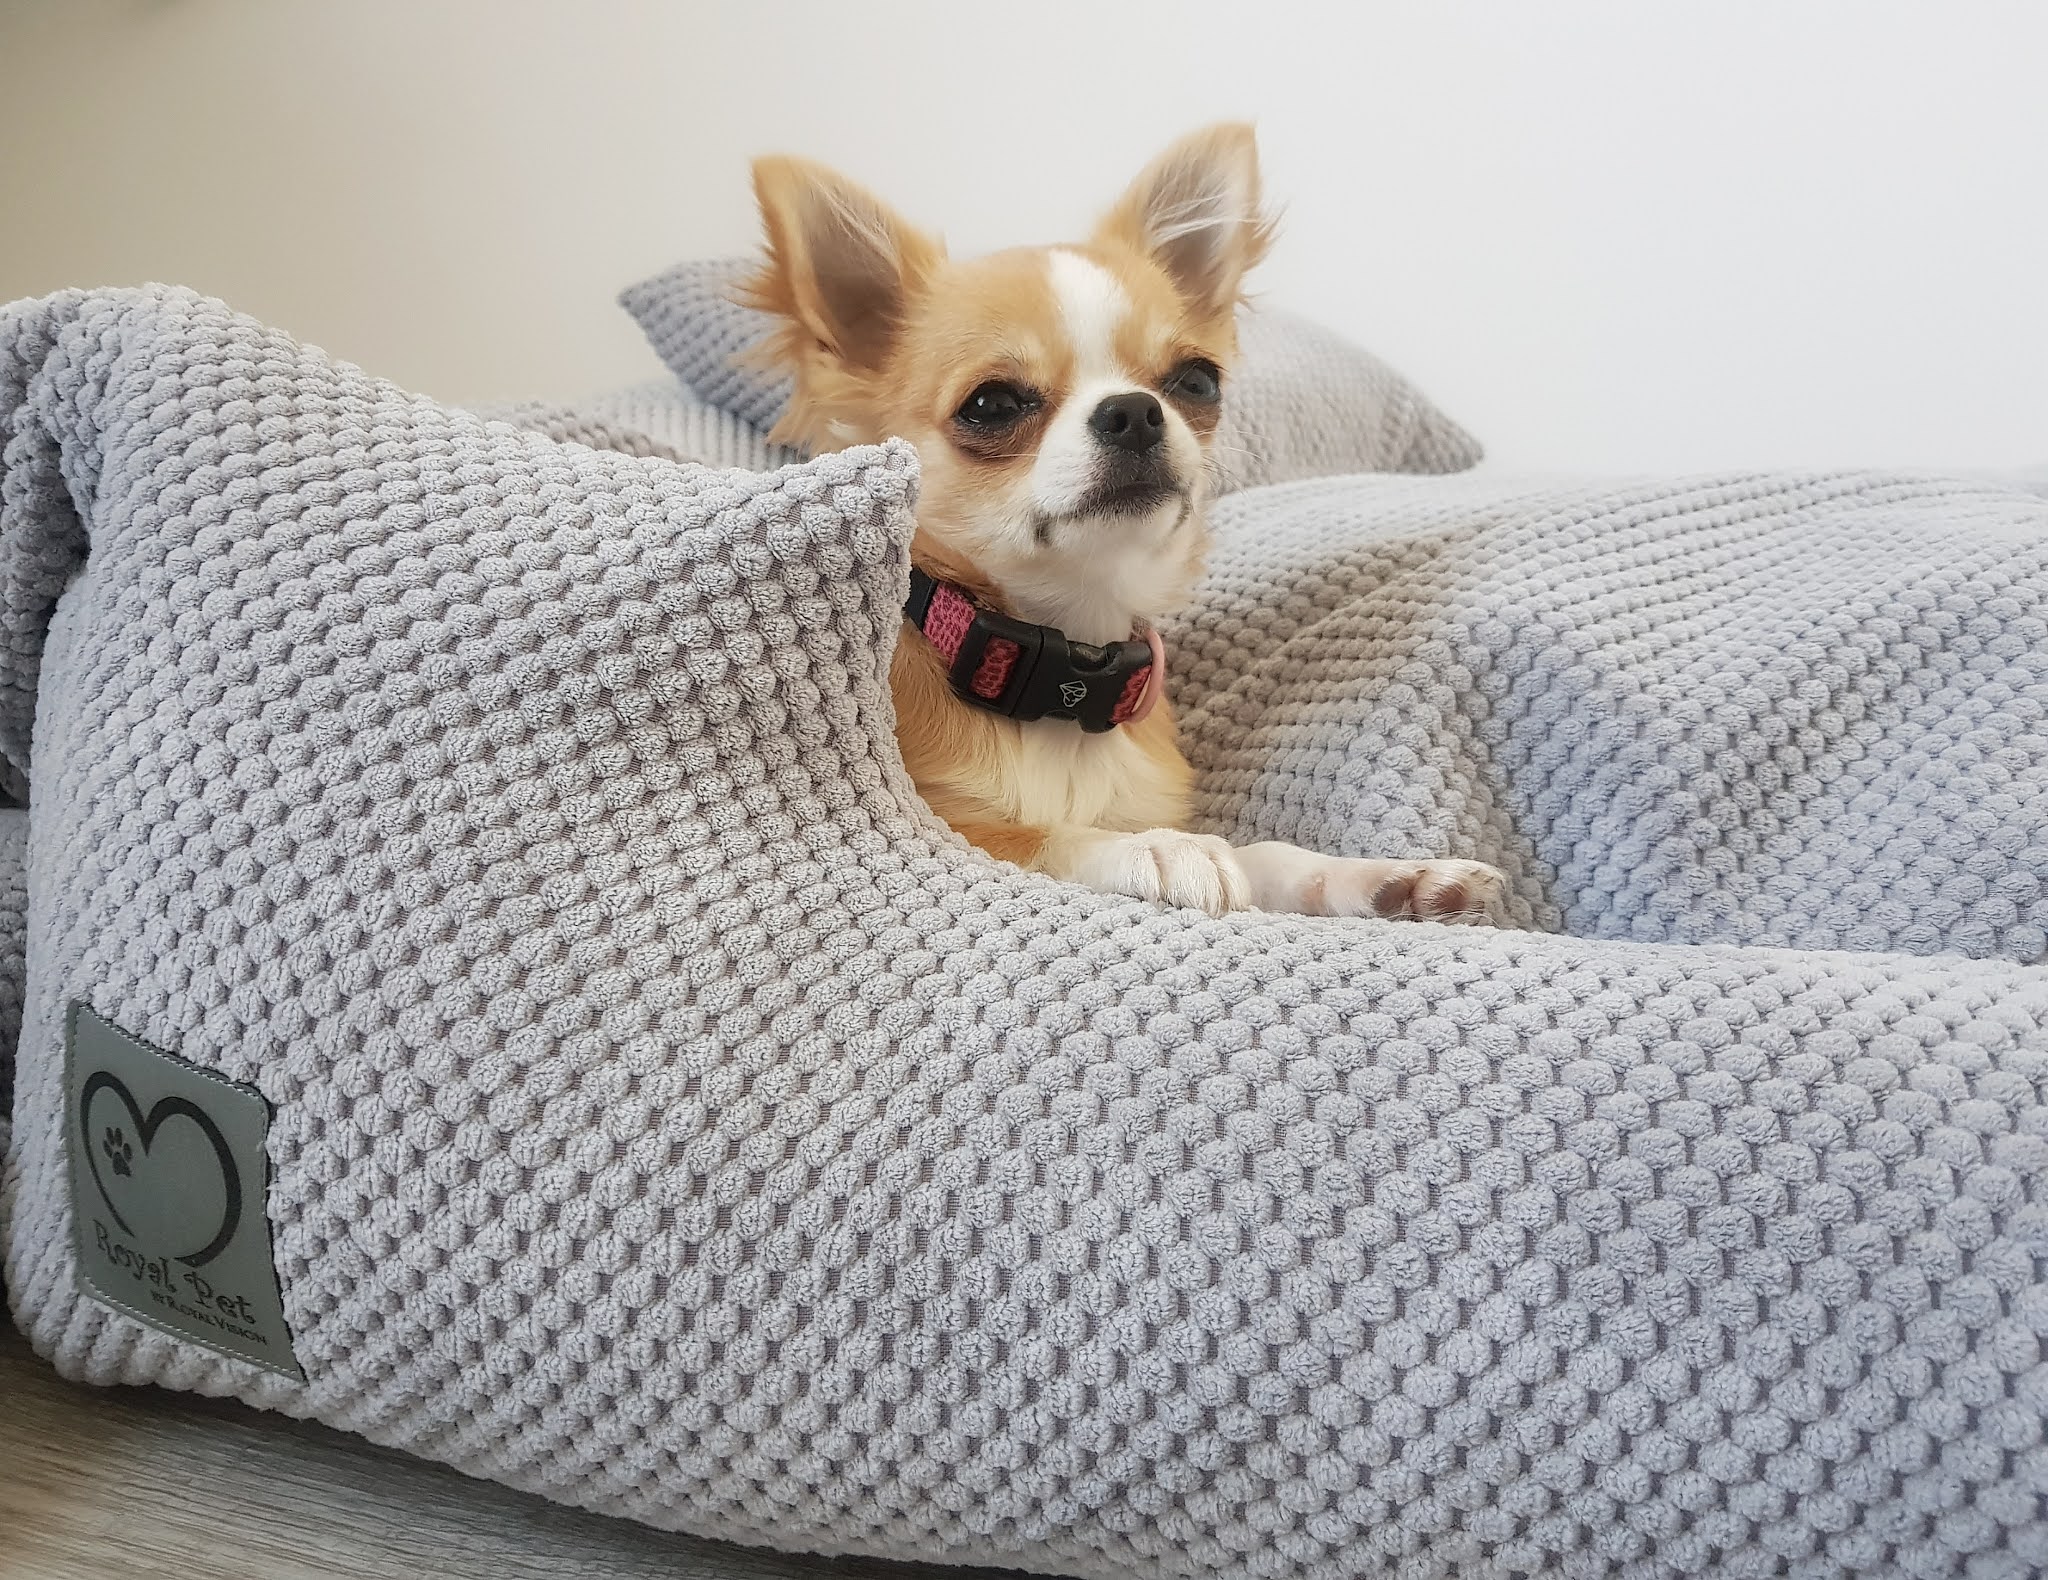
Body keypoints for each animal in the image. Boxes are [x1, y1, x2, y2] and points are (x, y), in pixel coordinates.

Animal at [743, 123, 1506, 922]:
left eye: (1197, 382)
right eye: (991, 404)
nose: (1136, 410)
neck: (1067, 671)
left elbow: (1263, 853)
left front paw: (1386, 876)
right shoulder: (934, 826)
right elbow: (1043, 836)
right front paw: (1158, 848)